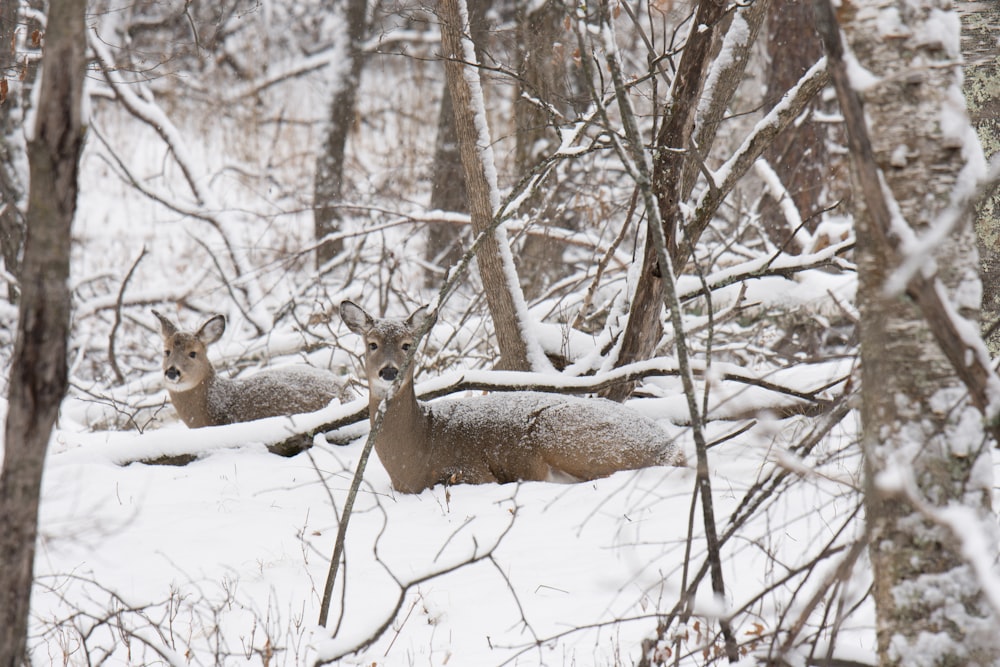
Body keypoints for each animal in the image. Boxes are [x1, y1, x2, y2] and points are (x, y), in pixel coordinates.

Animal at [340, 300, 684, 494]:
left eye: (407, 345)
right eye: (372, 344)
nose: (388, 371)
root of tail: (671, 448)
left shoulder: (472, 470)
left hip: (561, 432)